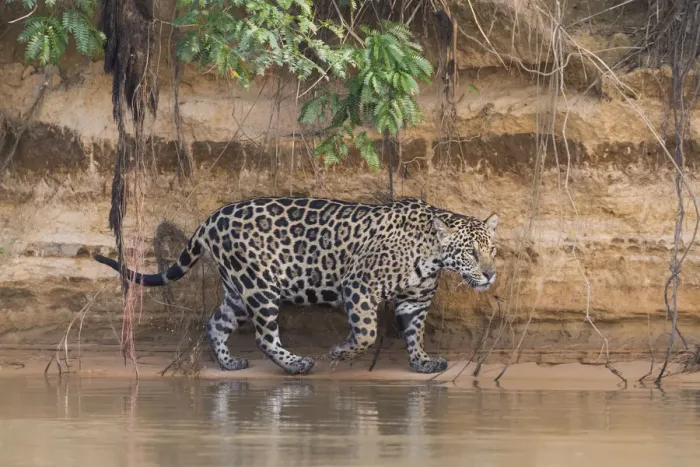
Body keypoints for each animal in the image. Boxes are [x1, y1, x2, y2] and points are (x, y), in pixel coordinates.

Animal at [94, 196, 499, 375]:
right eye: (471, 252)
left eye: (492, 249)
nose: (491, 274)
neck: (431, 253)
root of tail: (211, 218)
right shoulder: (359, 286)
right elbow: (367, 332)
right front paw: (340, 353)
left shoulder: (415, 300)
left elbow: (415, 333)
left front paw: (422, 362)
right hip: (260, 286)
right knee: (264, 336)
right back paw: (296, 364)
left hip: (238, 291)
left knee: (217, 322)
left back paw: (228, 363)